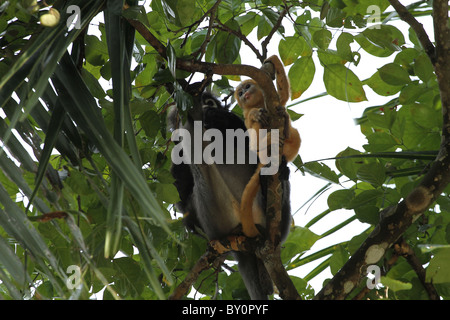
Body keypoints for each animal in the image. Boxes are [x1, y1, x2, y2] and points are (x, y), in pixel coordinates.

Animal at [234, 55, 300, 238]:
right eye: (240, 93)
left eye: (247, 86)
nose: (245, 94)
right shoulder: (245, 115)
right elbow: (251, 128)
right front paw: (255, 113)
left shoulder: (274, 100)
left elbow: (283, 97)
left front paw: (273, 59)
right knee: (257, 136)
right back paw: (268, 139)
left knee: (294, 135)